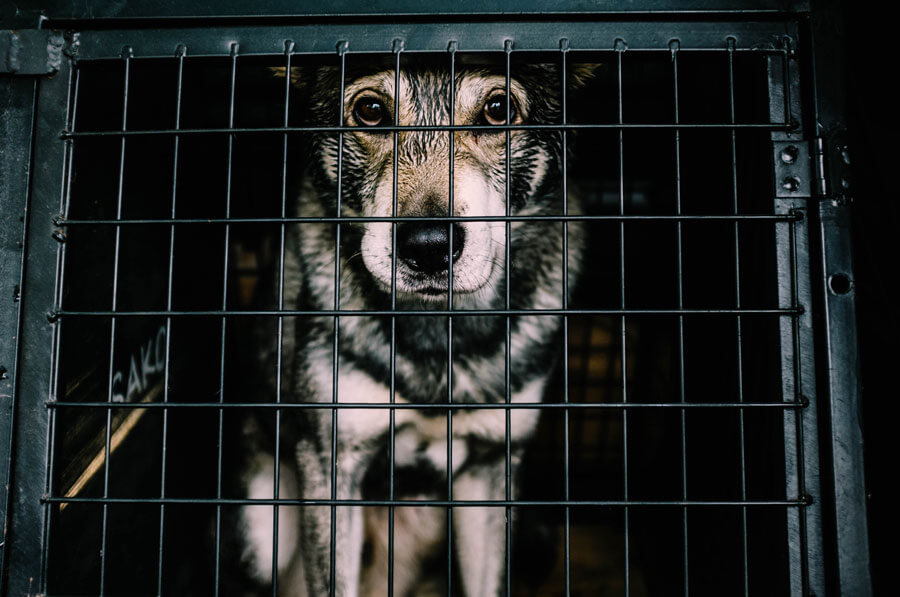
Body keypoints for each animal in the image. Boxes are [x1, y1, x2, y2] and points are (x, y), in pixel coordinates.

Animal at [236, 57, 596, 596]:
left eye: (497, 110)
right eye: (370, 111)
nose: (427, 246)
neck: (436, 334)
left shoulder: (491, 465)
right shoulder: (332, 465)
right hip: (260, 532)